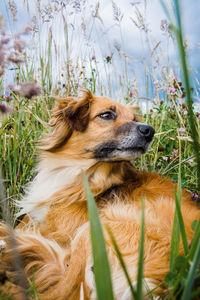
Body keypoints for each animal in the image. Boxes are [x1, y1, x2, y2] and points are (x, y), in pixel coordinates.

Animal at [0, 89, 199, 300]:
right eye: (106, 115)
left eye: (134, 118)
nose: (149, 131)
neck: (78, 171)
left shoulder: (58, 233)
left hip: (94, 230)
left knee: (58, 292)